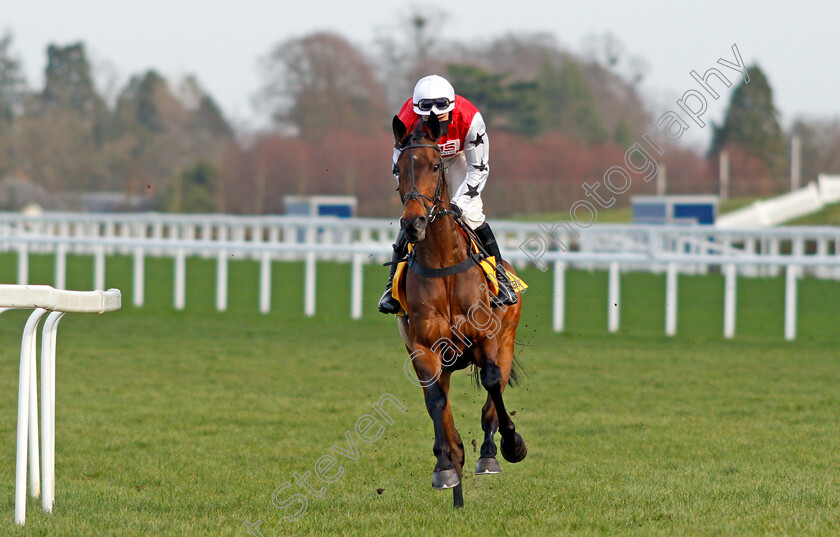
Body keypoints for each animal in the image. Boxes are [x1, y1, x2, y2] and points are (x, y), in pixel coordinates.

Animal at [392, 113, 524, 506]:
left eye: (436, 166)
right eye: (398, 169)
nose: (414, 223)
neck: (443, 264)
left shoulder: (487, 340)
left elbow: (492, 385)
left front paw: (508, 446)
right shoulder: (424, 349)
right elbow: (437, 403)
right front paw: (445, 468)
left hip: (506, 342)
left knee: (493, 396)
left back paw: (490, 452)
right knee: (441, 405)